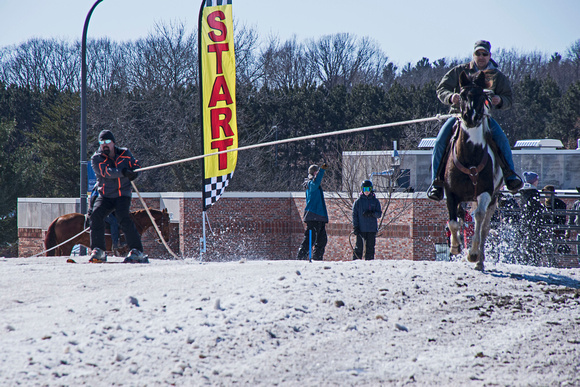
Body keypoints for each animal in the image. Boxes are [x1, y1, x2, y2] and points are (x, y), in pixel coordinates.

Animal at [444, 71, 502, 272]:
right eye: (461, 95)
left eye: (481, 96)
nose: (470, 116)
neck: (470, 154)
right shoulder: (450, 192)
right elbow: (453, 222)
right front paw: (455, 246)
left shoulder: (485, 192)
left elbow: (478, 218)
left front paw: (473, 254)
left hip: (493, 199)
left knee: (483, 226)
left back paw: (479, 261)